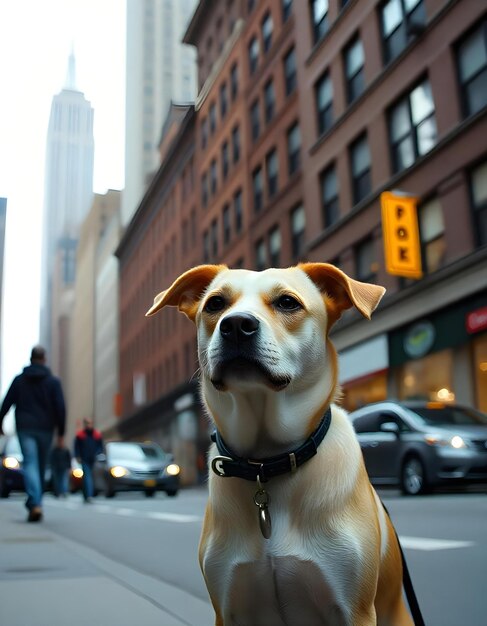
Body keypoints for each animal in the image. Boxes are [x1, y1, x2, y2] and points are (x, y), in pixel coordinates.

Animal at [147, 264, 414, 624]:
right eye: (215, 303)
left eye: (287, 302)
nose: (235, 325)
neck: (266, 461)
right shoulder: (228, 608)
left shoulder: (354, 610)